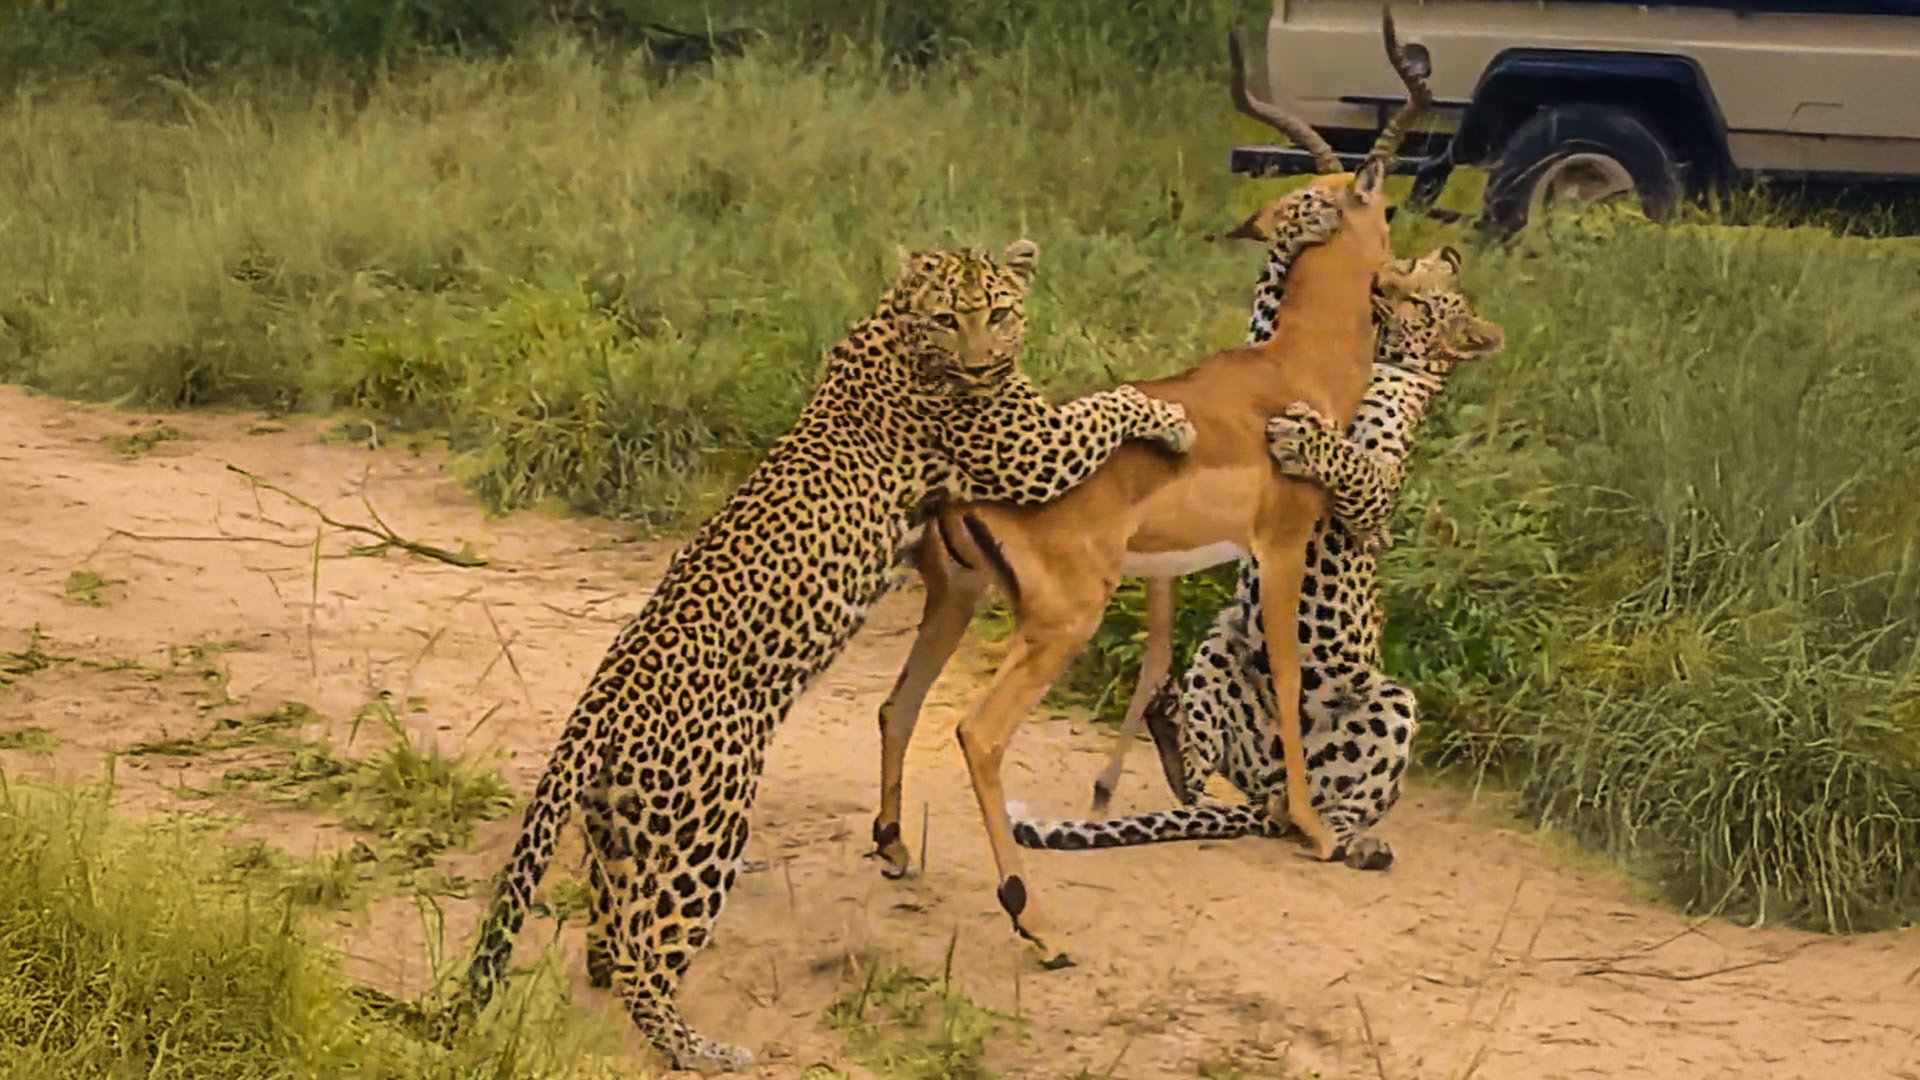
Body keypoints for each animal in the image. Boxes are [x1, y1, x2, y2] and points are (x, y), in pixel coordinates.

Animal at [865, 9, 1435, 952]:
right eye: (1383, 205)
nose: (1398, 277)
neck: (1292, 370)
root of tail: (971, 486)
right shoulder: (1278, 548)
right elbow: (1286, 679)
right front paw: (1310, 828)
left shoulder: (1168, 570)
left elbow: (1157, 670)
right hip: (1061, 619)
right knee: (976, 732)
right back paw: (1032, 919)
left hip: (959, 600)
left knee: (896, 707)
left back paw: (894, 851)